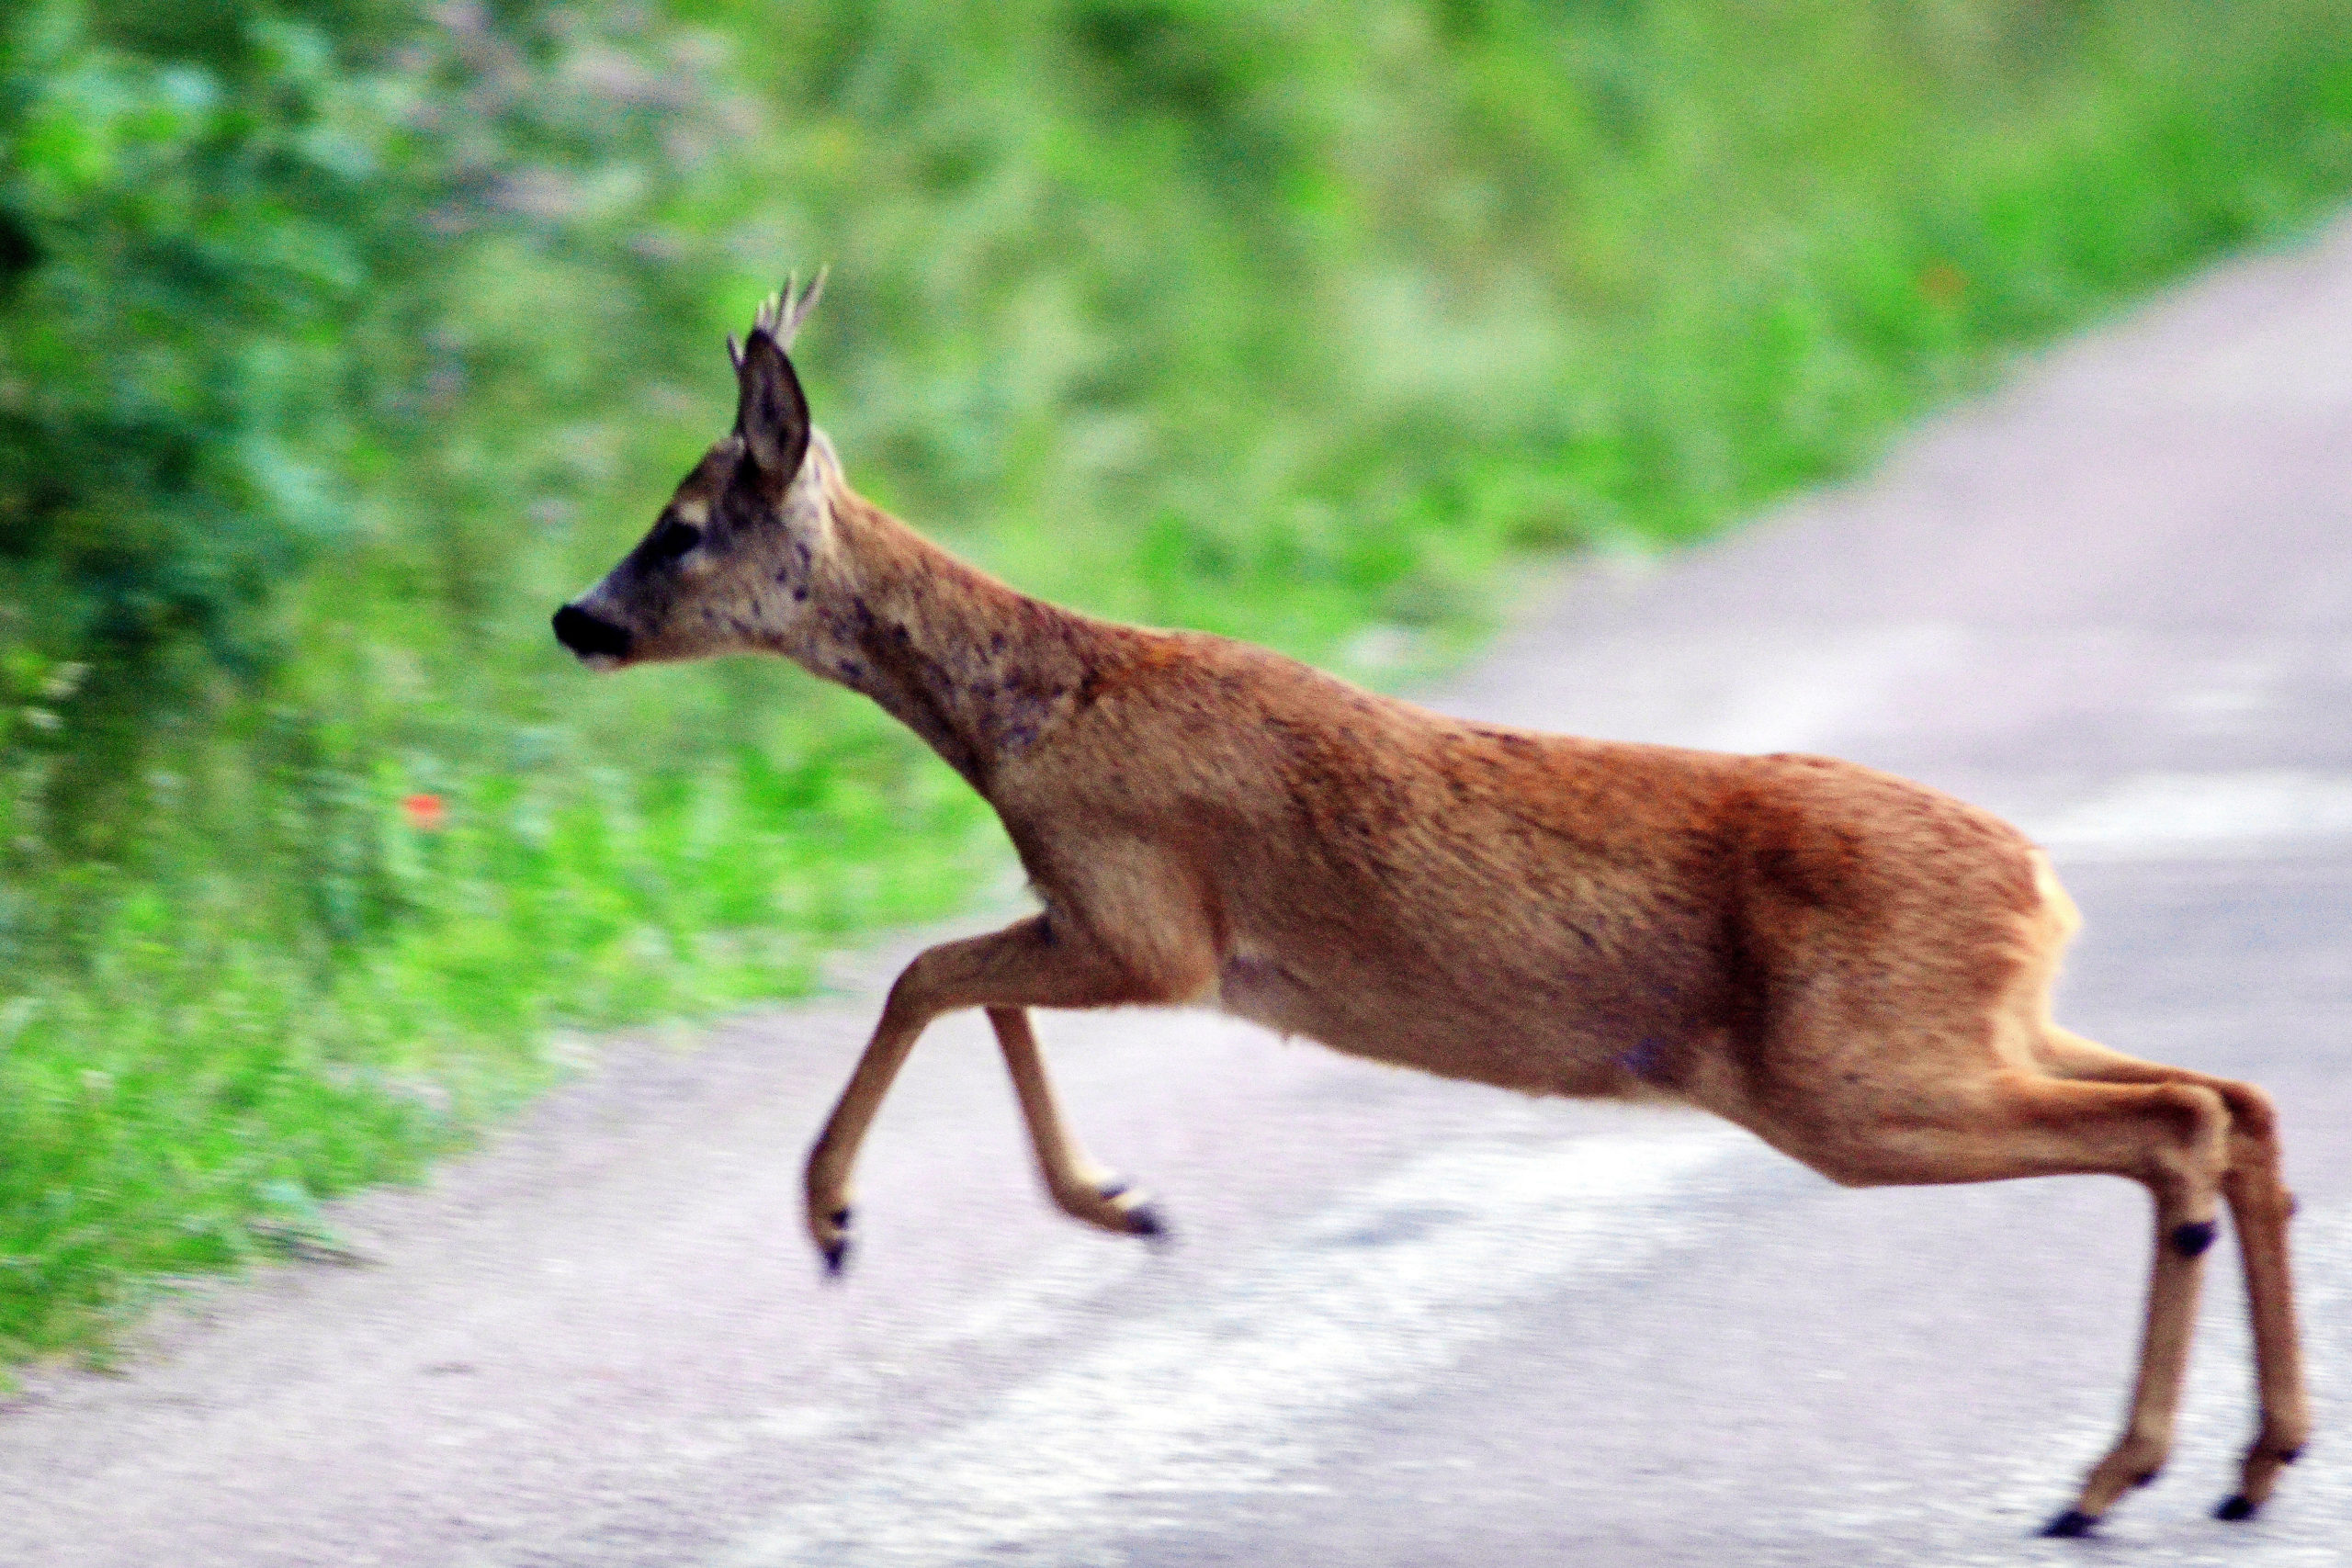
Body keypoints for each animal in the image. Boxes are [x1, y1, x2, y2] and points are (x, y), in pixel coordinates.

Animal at [560, 276, 2304, 1541]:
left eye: (683, 525)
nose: (574, 615)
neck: (1030, 720)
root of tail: (2040, 879)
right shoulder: (1111, 926)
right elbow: (963, 986)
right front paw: (1118, 1200)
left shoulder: (1151, 922)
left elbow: (925, 973)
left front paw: (840, 1217)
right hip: (1970, 1027)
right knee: (2238, 1093)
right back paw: (2249, 1460)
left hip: (1854, 1076)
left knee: (2177, 1123)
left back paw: (2116, 1476)